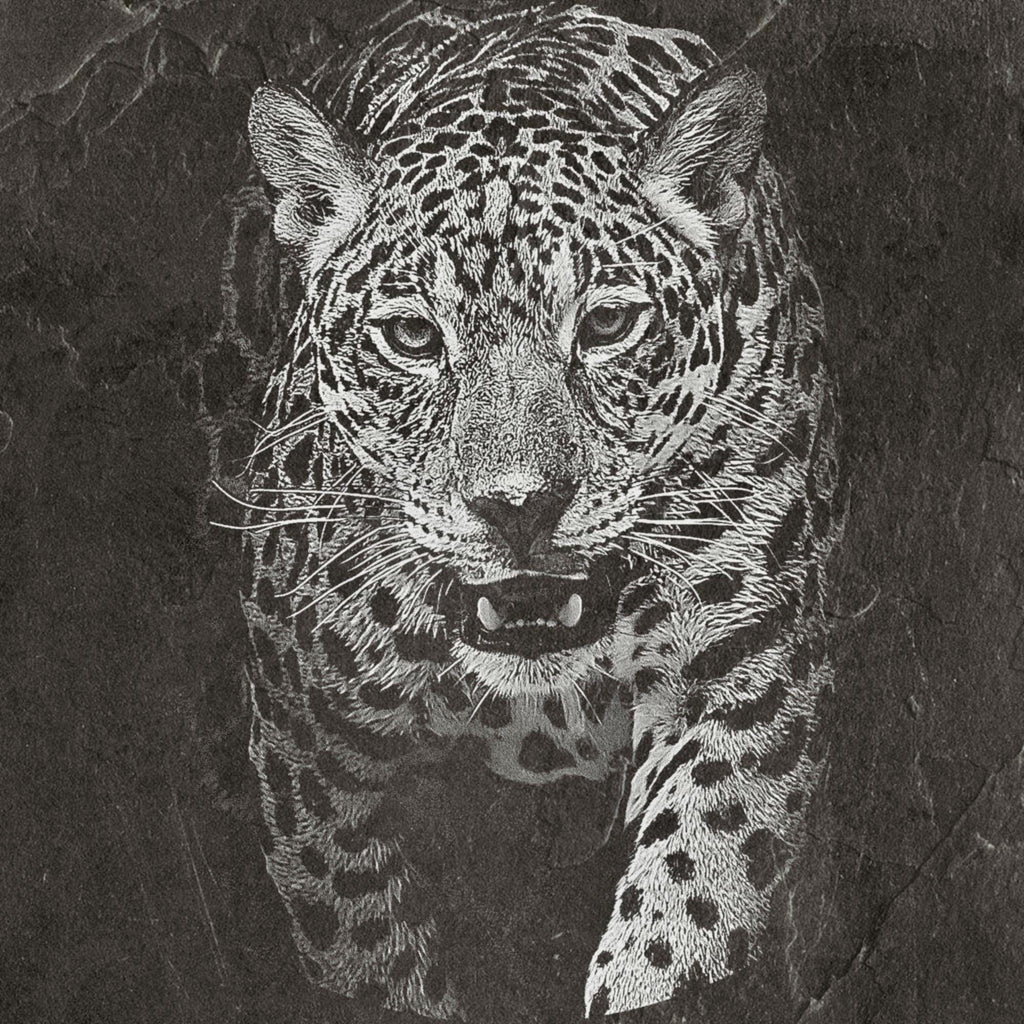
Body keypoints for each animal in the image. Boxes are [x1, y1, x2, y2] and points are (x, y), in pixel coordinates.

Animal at [228, 1, 844, 1018]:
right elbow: (365, 946)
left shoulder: (746, 684)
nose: (519, 507)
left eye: (606, 325)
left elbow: (685, 916)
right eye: (412, 336)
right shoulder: (309, 747)